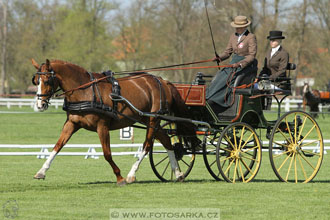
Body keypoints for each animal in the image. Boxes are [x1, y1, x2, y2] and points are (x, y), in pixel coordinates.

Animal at [31, 58, 195, 186]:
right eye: (36, 81)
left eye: (47, 80)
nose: (40, 105)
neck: (85, 91)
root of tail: (162, 80)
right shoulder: (71, 124)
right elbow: (57, 146)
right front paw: (41, 171)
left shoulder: (102, 126)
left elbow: (107, 153)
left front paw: (119, 177)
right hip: (147, 119)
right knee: (166, 141)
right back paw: (178, 173)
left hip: (153, 118)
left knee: (147, 145)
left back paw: (131, 174)